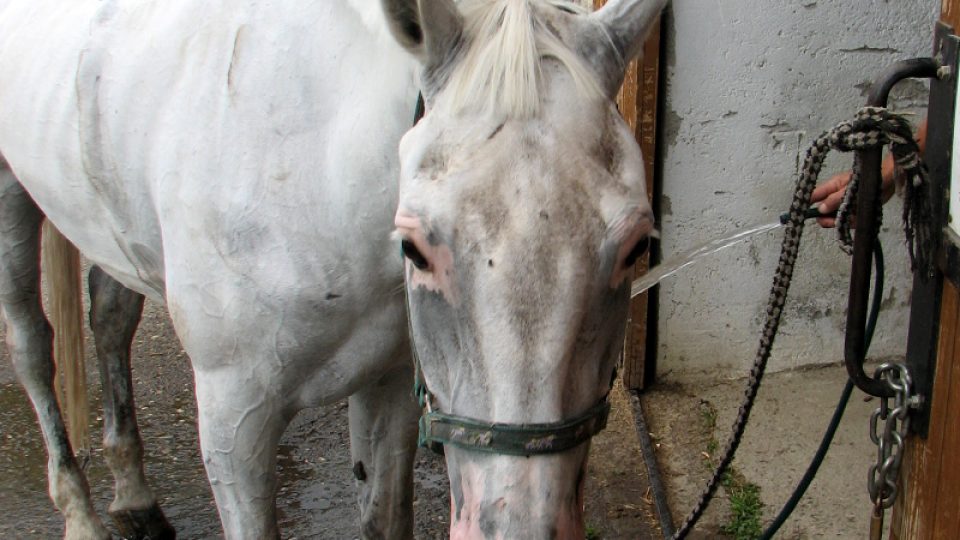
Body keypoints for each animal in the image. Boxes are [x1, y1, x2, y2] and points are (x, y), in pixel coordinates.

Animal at [0, 0, 660, 536]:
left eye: (635, 246)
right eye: (415, 249)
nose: (519, 529)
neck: (312, 161)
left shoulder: (389, 380)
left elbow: (382, 516)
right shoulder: (233, 421)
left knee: (111, 319)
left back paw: (133, 497)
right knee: (33, 347)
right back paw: (80, 516)